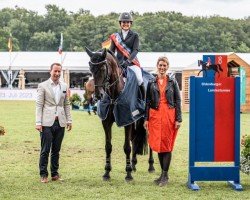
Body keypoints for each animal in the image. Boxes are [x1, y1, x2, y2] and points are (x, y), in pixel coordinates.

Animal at [84, 47, 154, 181]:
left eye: (103, 68)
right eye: (91, 69)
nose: (98, 95)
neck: (113, 94)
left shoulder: (127, 121)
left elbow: (127, 147)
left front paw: (128, 174)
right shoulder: (107, 122)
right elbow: (108, 147)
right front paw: (107, 172)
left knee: (148, 139)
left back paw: (151, 166)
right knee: (135, 139)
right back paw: (134, 164)